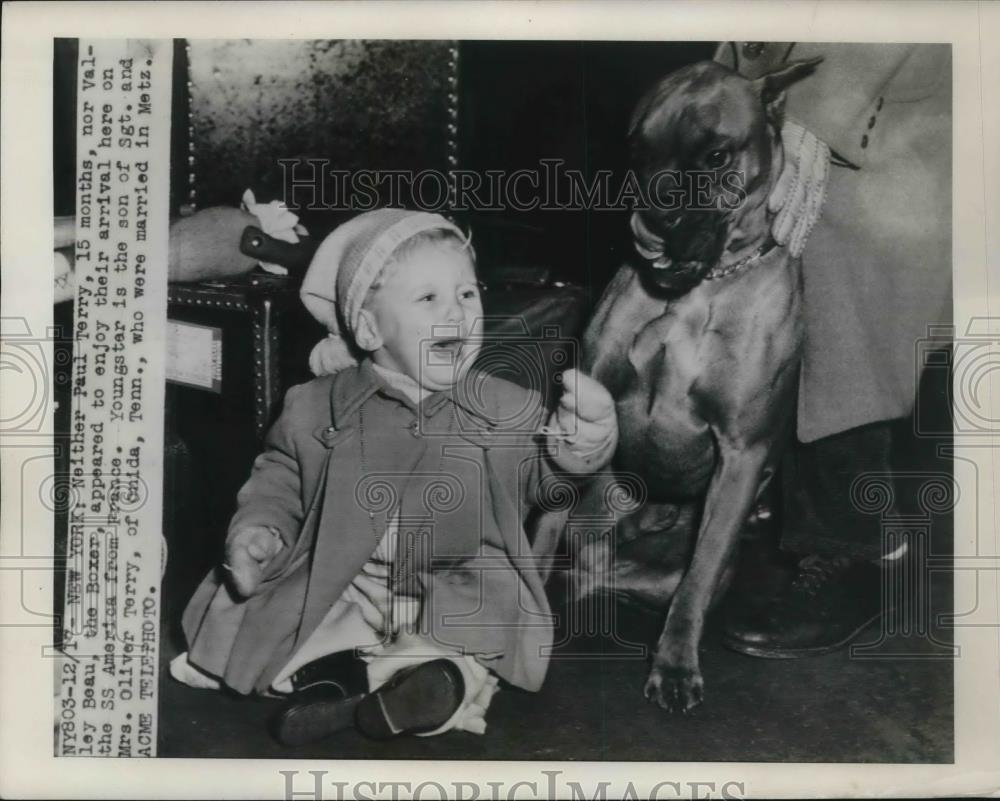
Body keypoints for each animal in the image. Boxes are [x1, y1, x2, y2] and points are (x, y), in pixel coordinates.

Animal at [536, 57, 824, 712]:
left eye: (715, 156)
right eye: (637, 152)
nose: (650, 219)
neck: (701, 291)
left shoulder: (742, 455)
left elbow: (699, 573)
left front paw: (674, 665)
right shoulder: (578, 420)